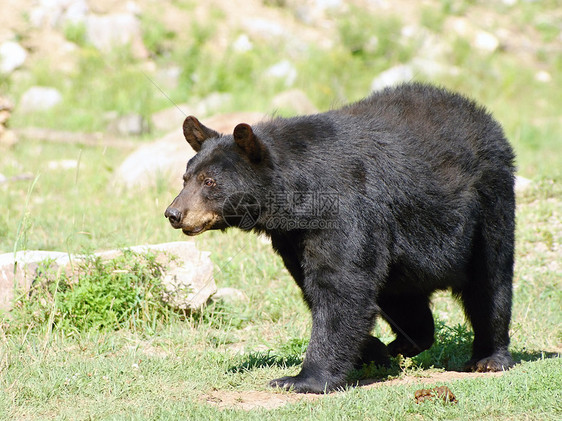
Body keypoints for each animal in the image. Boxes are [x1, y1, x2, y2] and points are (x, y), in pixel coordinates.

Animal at [164, 83, 516, 394]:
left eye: (210, 181)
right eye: (186, 177)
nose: (173, 213)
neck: (298, 195)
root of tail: (482, 115)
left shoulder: (345, 208)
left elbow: (340, 285)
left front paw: (302, 379)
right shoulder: (293, 236)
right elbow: (320, 284)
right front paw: (370, 350)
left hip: (488, 203)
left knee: (490, 281)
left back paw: (488, 357)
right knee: (401, 294)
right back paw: (403, 343)